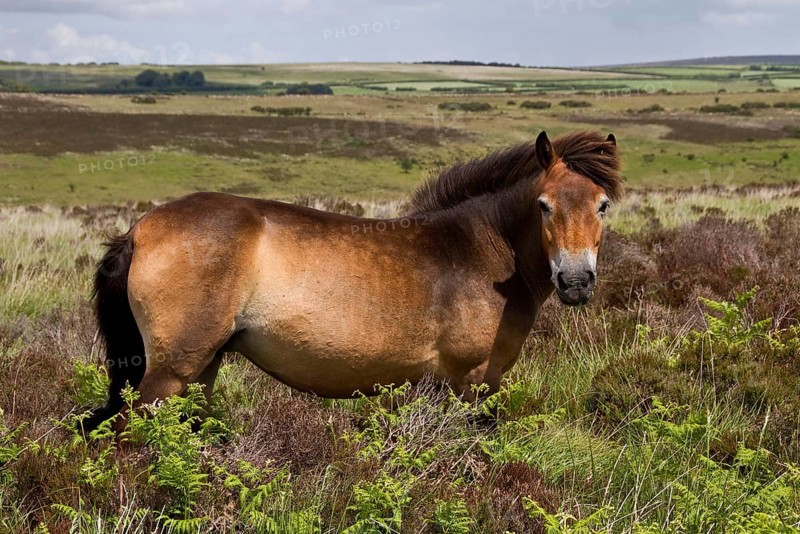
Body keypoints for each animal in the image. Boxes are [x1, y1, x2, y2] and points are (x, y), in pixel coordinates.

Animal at [82, 130, 623, 432]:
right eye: (543, 205)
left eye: (602, 205)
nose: (576, 281)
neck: (479, 251)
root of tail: (139, 230)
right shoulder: (468, 383)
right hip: (170, 373)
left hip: (202, 368)